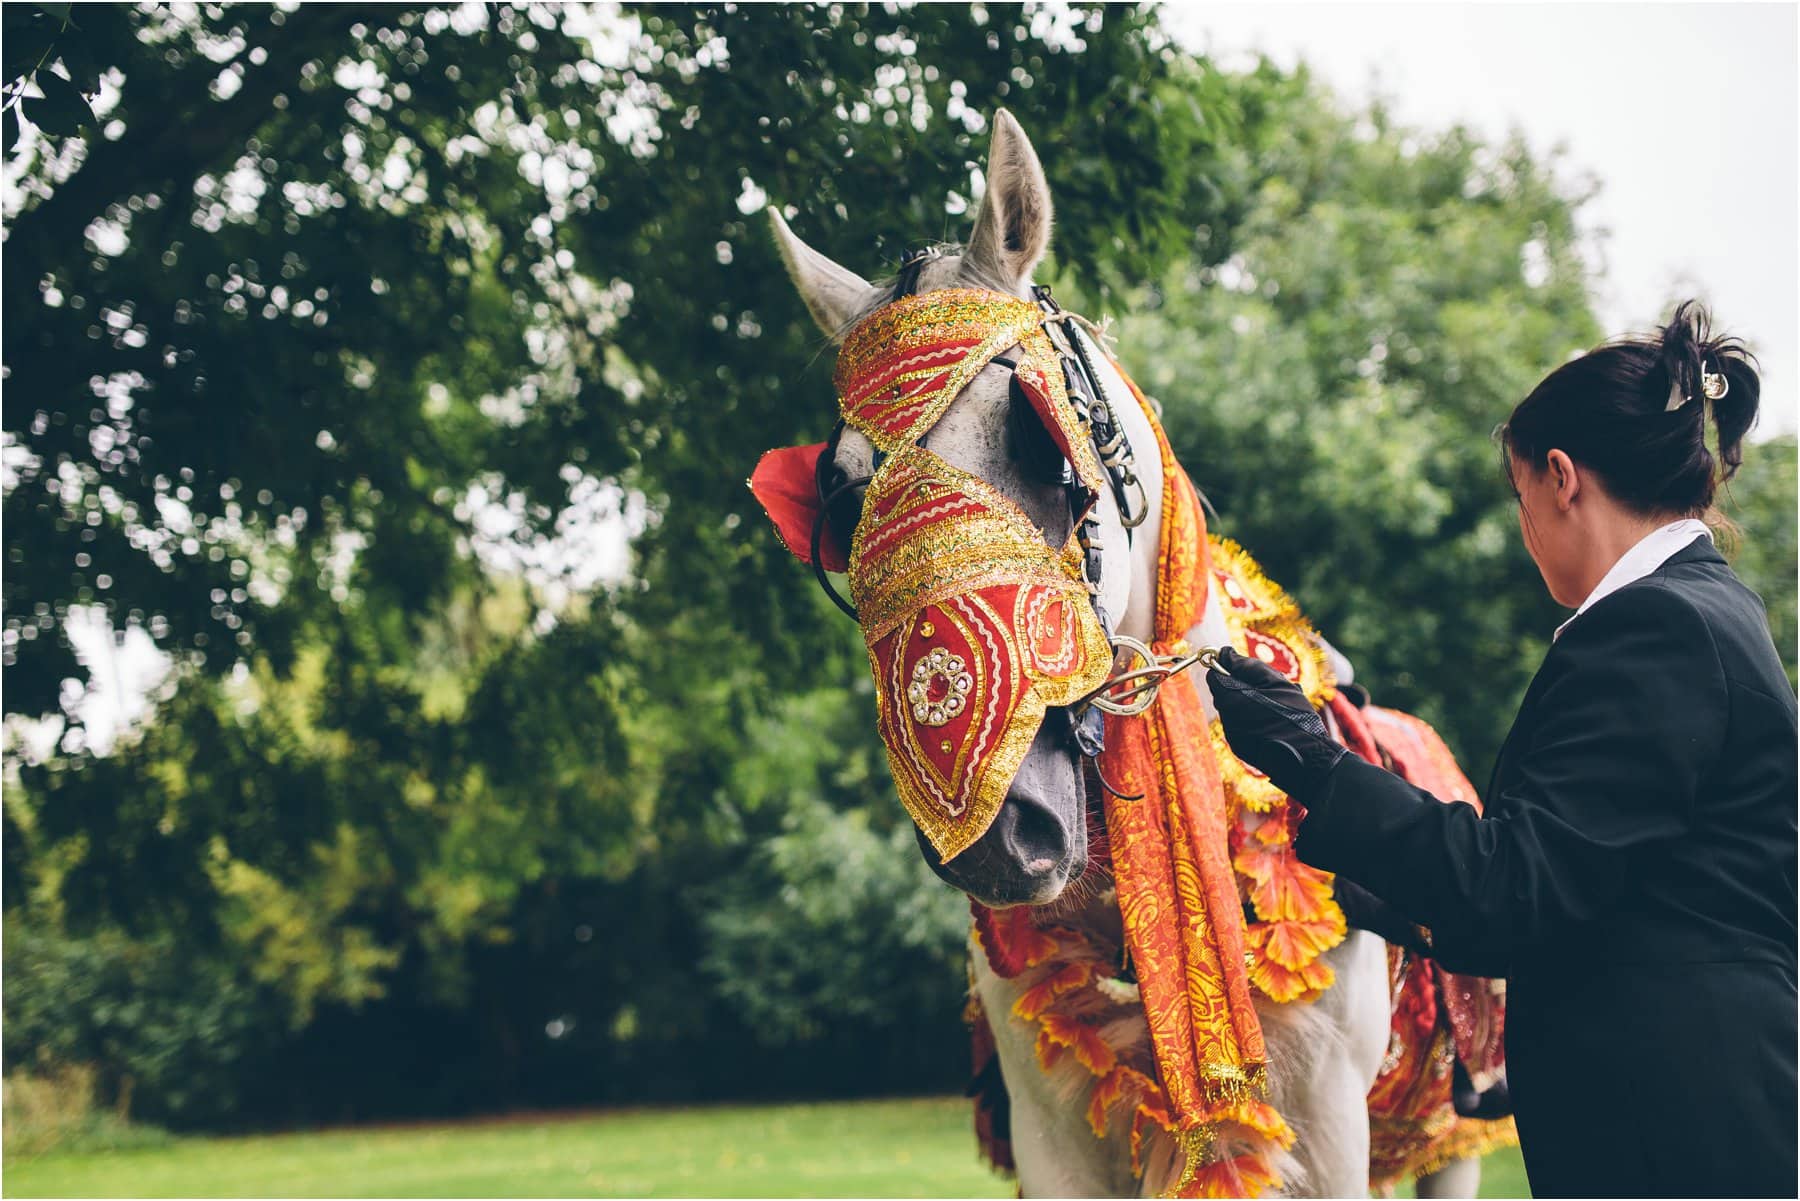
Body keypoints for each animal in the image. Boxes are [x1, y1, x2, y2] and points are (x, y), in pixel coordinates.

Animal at [759, 108, 1476, 1195]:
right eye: (842, 500)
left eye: (1039, 441)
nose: (1002, 833)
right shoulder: (1054, 1133)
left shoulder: (1326, 1125)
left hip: (1446, 1141)